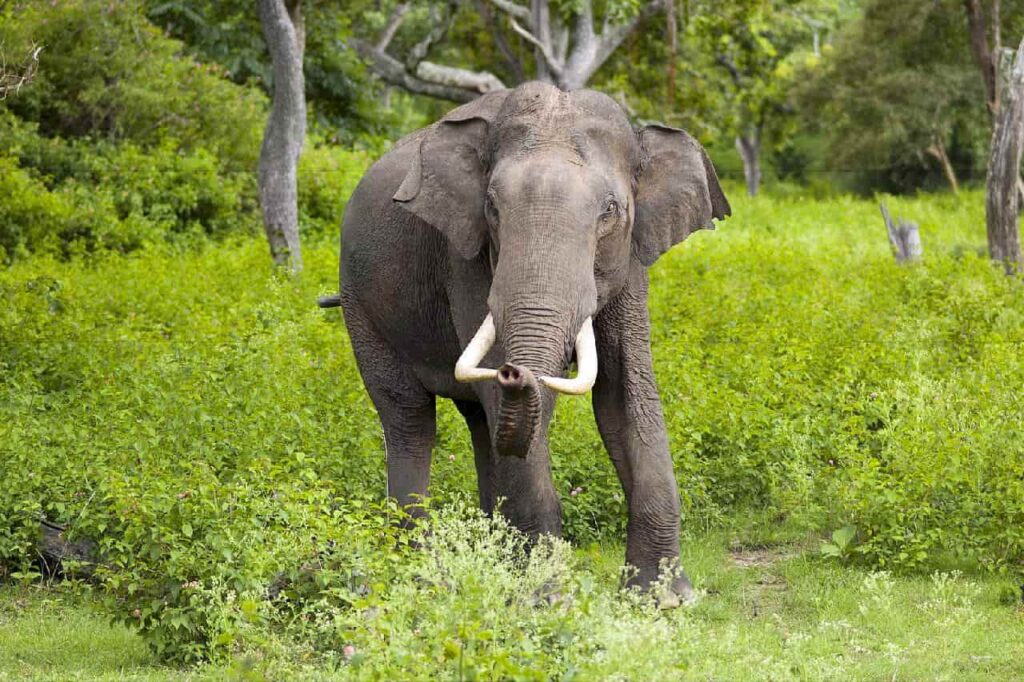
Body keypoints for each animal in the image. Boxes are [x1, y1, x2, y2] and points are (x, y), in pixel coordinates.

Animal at [324, 81, 730, 603]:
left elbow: (624, 395)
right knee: (410, 418)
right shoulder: (466, 257)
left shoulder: (632, 259)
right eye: (493, 208)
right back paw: (420, 570)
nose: (516, 371)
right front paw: (547, 599)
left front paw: (663, 599)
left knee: (480, 422)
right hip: (360, 304)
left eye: (610, 211)